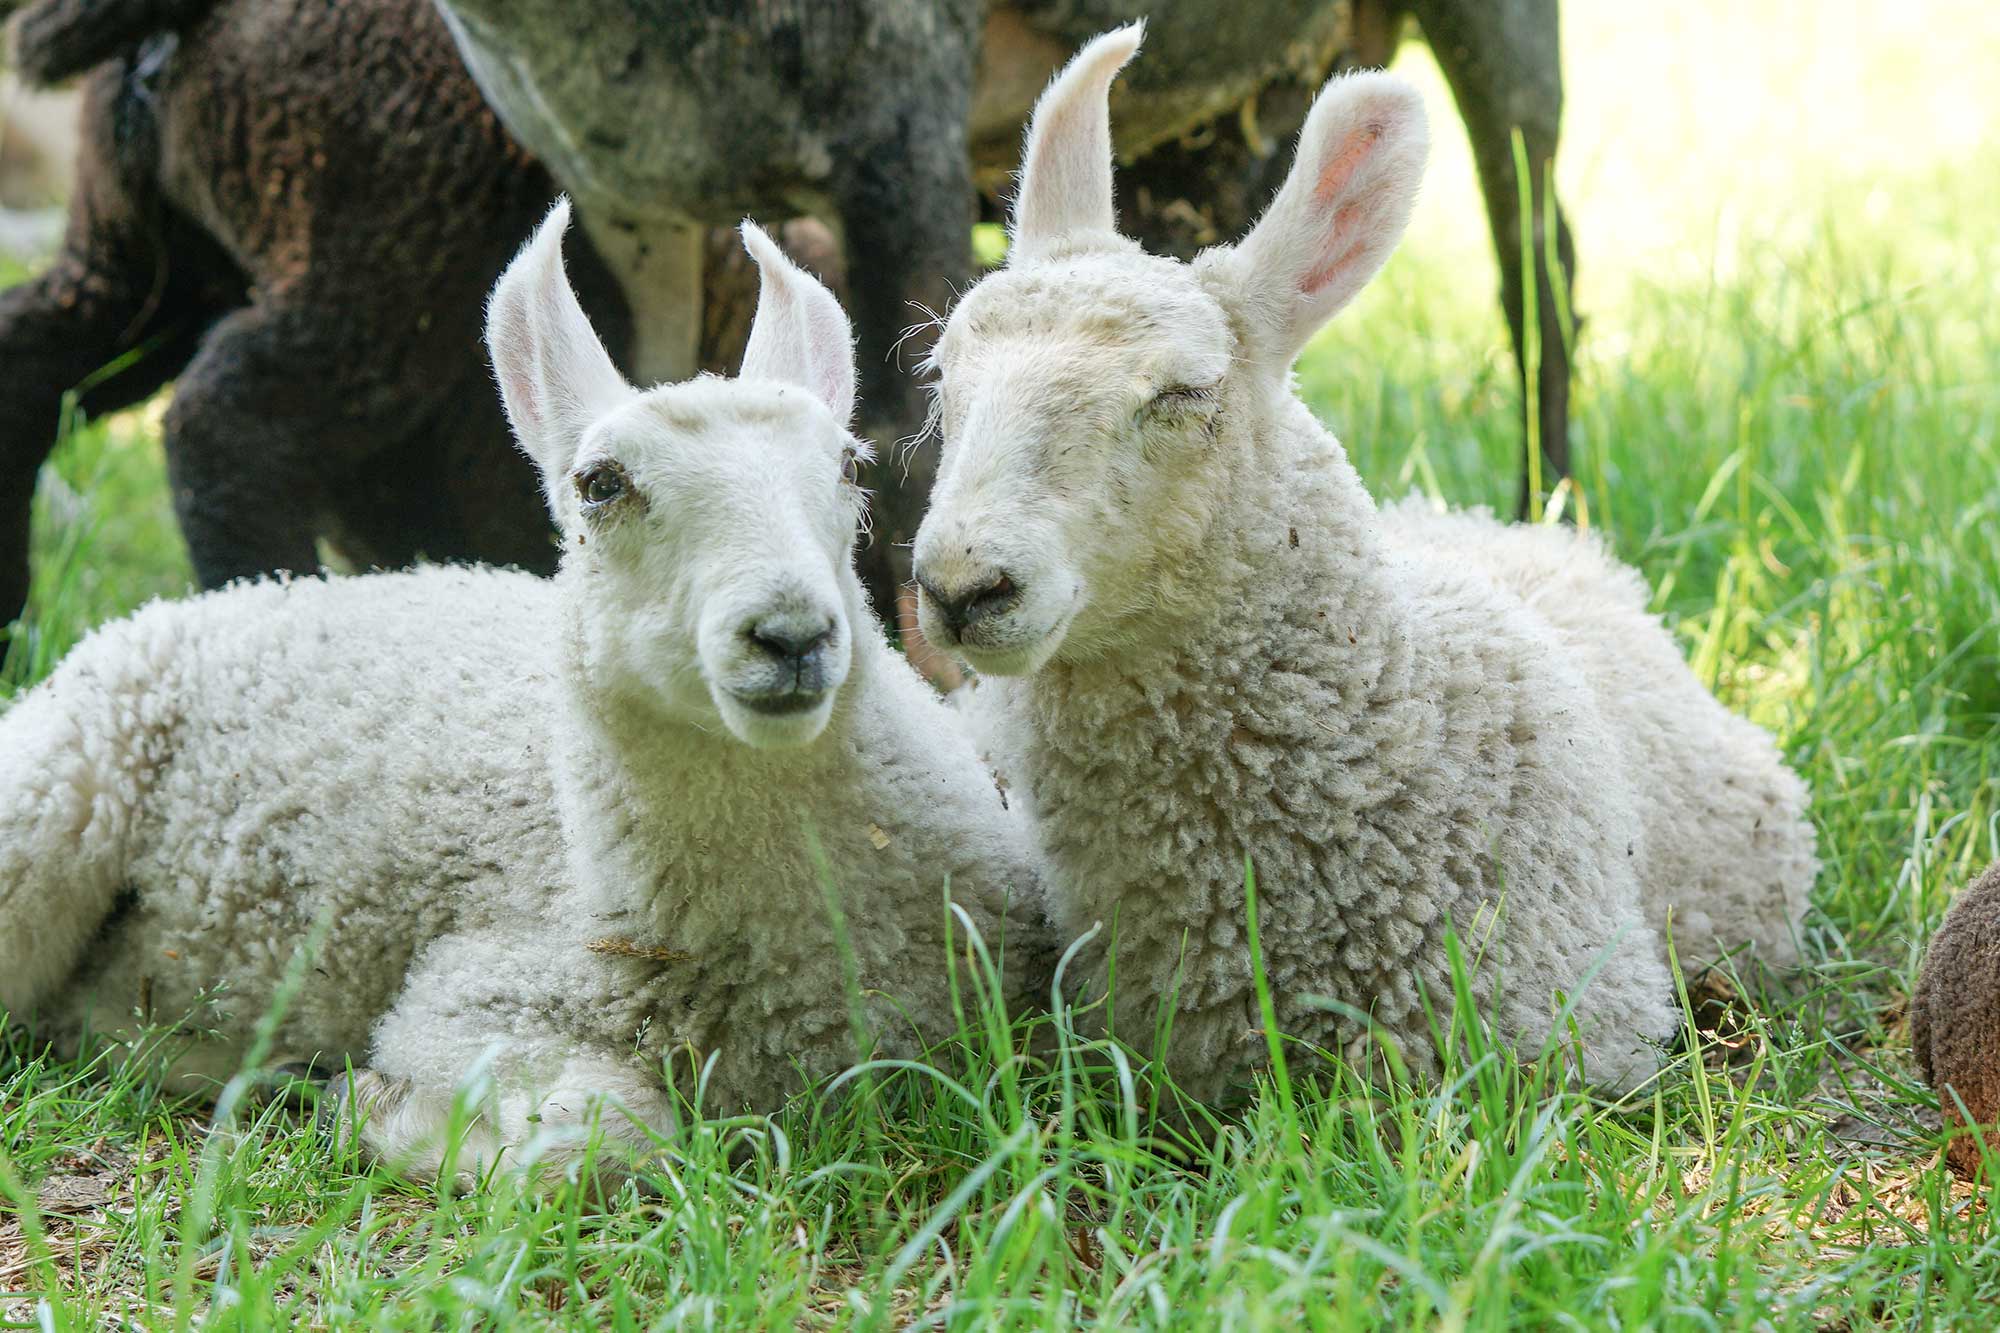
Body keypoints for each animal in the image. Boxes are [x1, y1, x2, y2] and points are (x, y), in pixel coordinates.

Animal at [0, 204, 1046, 1181]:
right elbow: (610, 1134)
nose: (791, 633)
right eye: (600, 483)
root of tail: (218, 598)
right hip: (48, 802)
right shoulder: (473, 994)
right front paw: (376, 1108)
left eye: (849, 465)